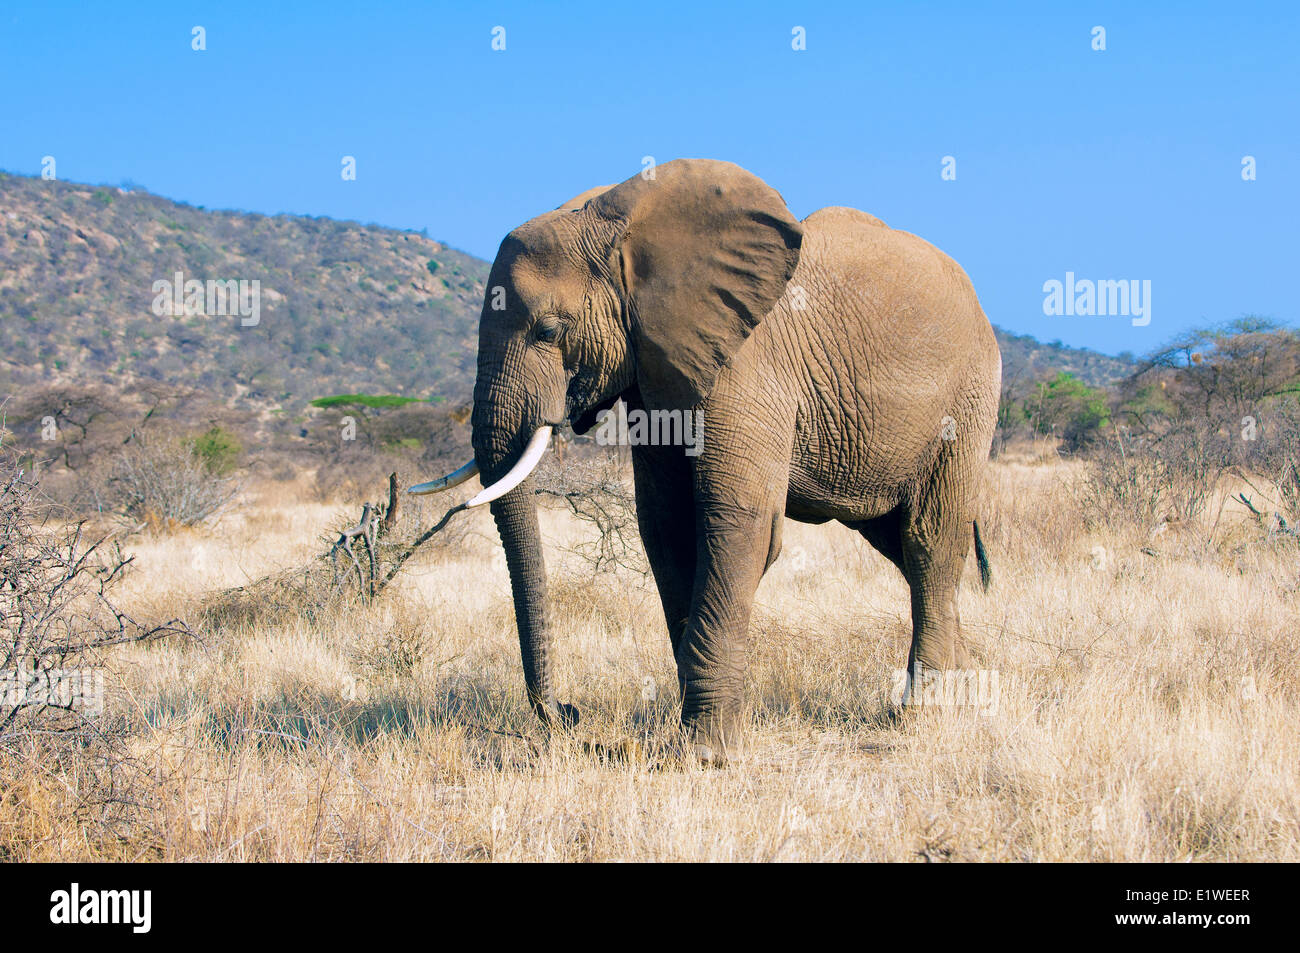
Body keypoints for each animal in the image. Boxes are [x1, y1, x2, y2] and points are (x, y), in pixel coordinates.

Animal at [410, 157, 998, 764]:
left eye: (549, 330)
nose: (568, 714)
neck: (618, 222)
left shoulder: (747, 363)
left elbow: (734, 518)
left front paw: (706, 754)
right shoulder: (653, 366)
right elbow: (666, 524)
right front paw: (696, 736)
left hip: (968, 399)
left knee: (929, 540)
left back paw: (923, 715)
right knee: (898, 541)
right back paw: (964, 686)